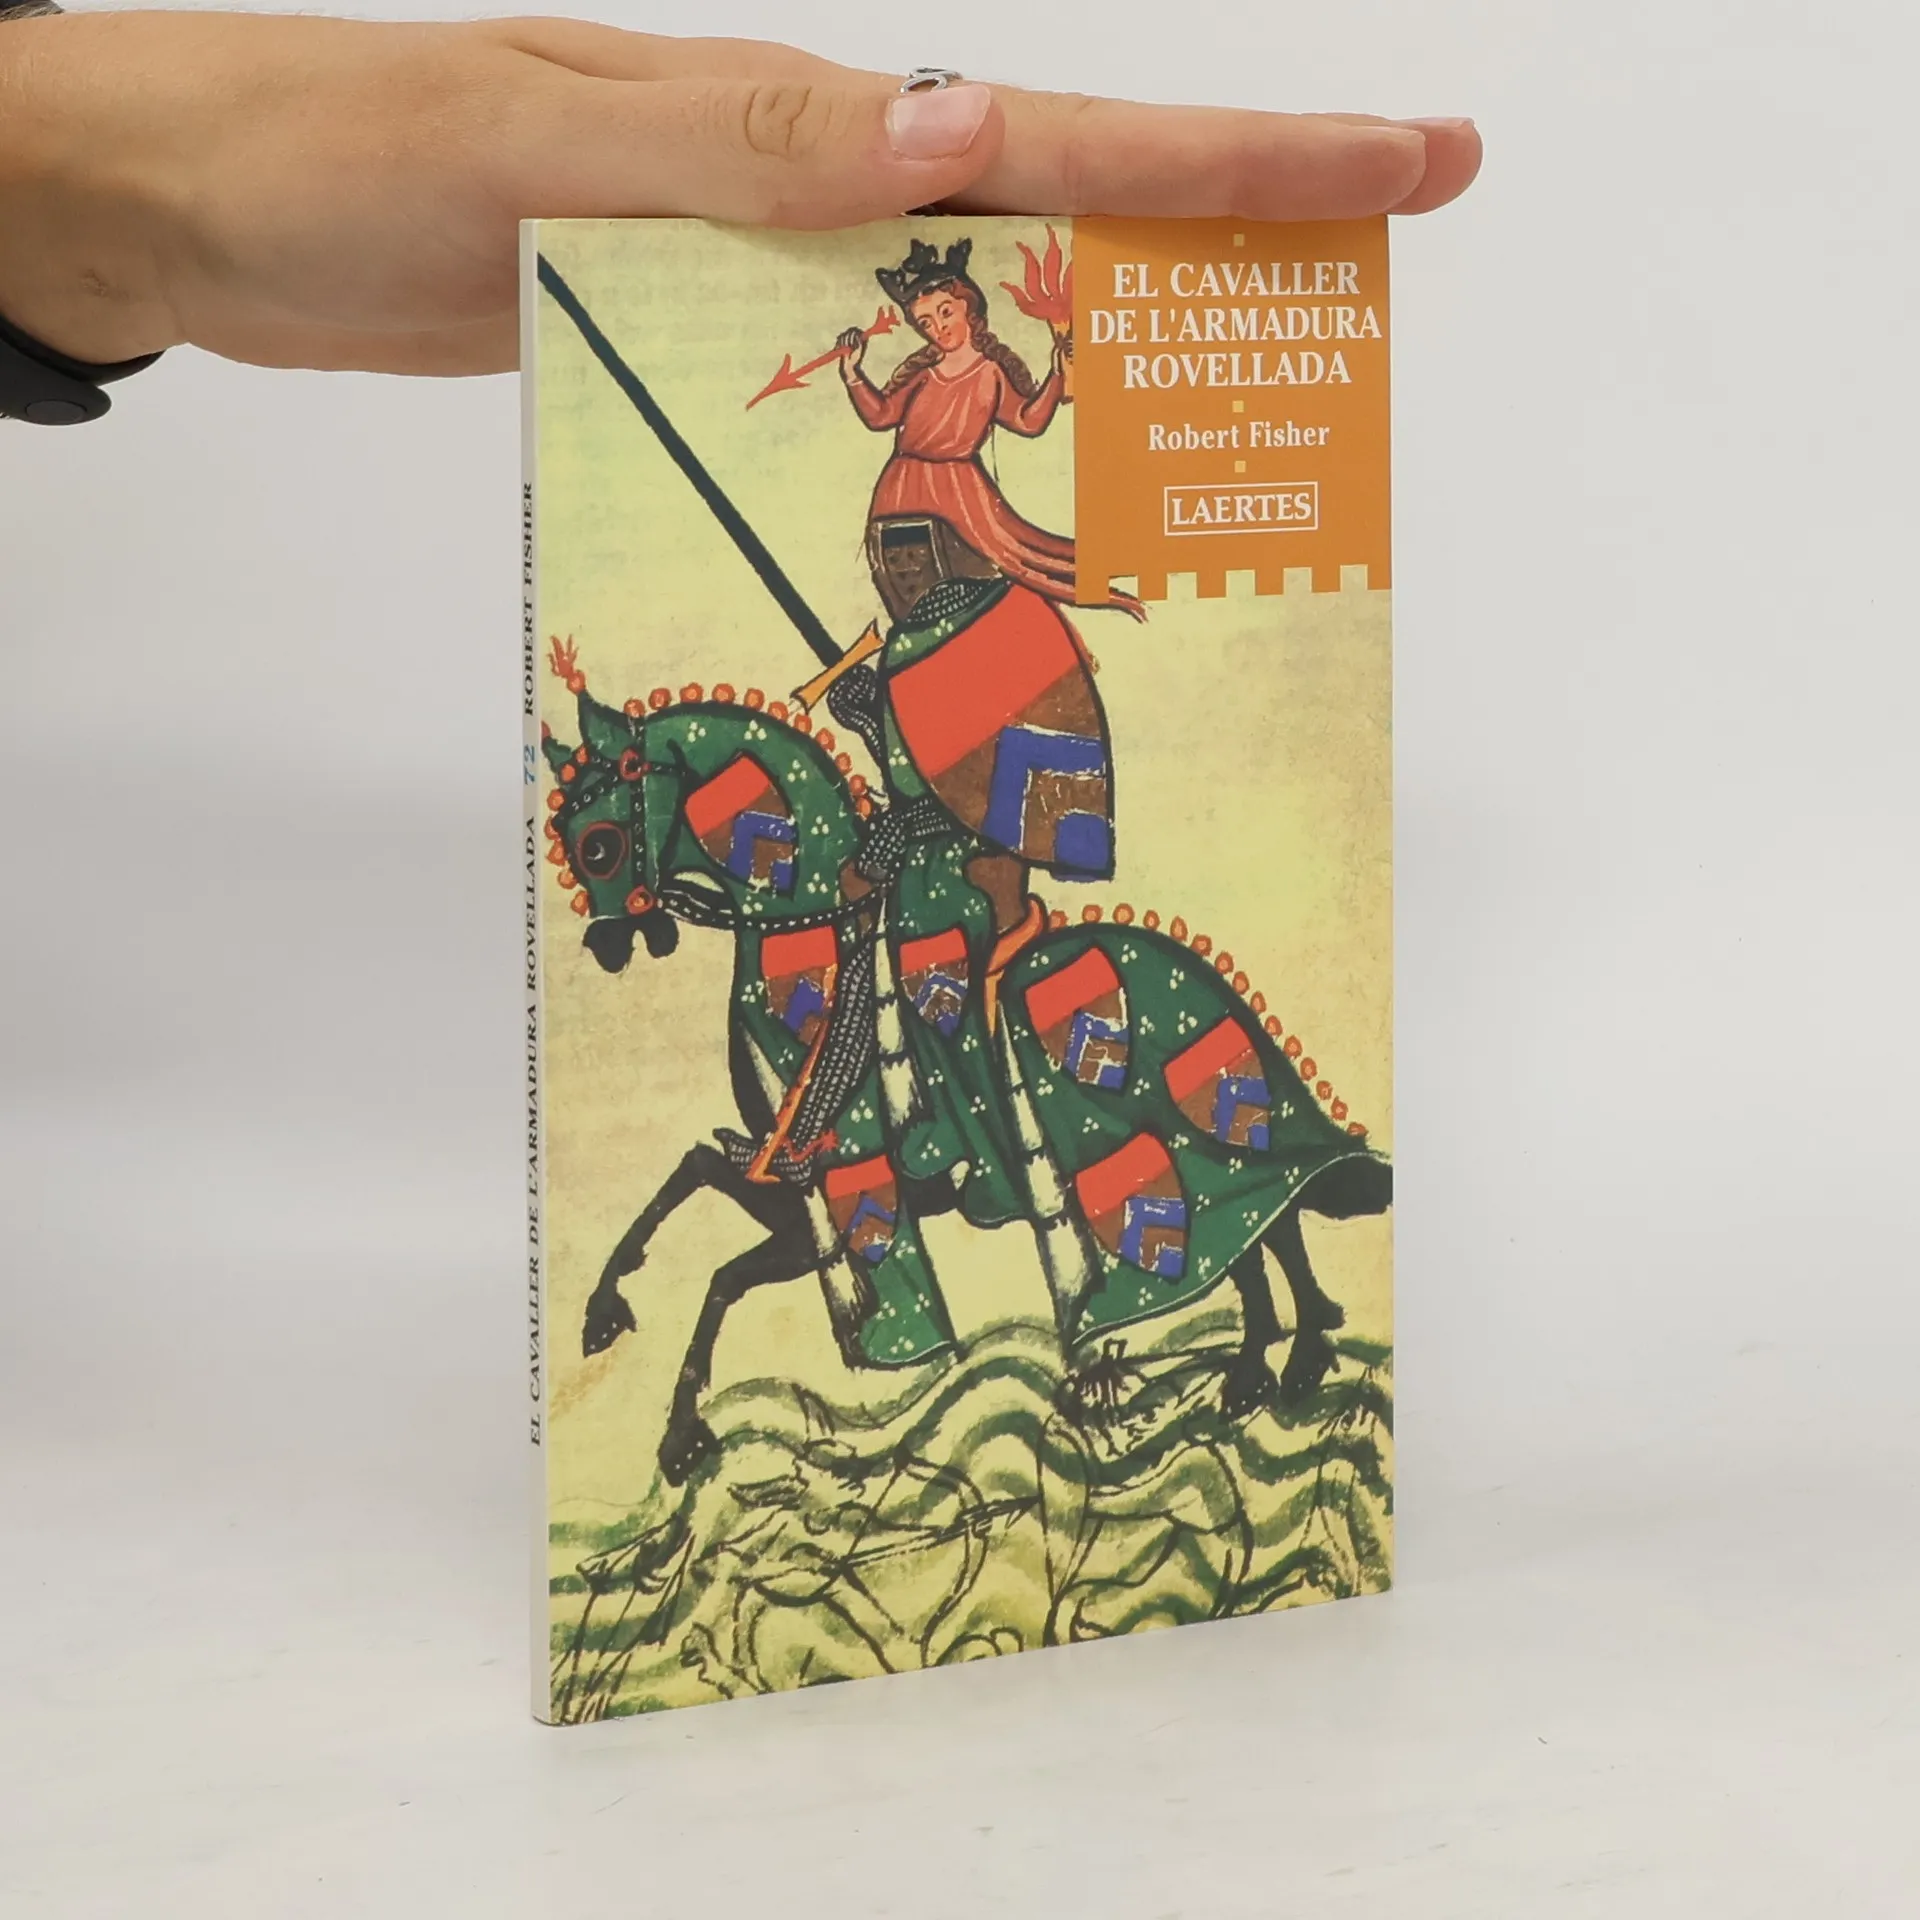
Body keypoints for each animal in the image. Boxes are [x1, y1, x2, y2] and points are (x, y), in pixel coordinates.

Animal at [540, 643, 1390, 1484]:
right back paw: (1263, 1370)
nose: (608, 945)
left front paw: (679, 1434)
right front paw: (605, 1318)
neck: (812, 952)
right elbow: (692, 1182)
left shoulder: (840, 1201)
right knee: (1261, 1230)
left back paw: (1290, 1361)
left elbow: (721, 1275)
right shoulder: (786, 1189)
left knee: (1271, 1217)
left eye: (599, 844)